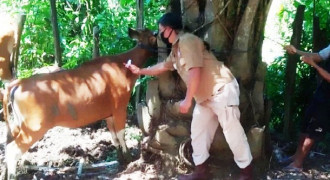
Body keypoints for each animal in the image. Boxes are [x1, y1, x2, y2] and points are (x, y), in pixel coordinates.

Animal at [2, 27, 157, 179]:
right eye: (154, 36)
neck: (124, 67)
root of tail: (18, 83)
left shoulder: (109, 114)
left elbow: (114, 137)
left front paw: (121, 160)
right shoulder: (120, 107)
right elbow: (121, 134)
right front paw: (129, 159)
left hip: (18, 124)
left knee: (7, 145)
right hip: (34, 127)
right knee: (13, 149)